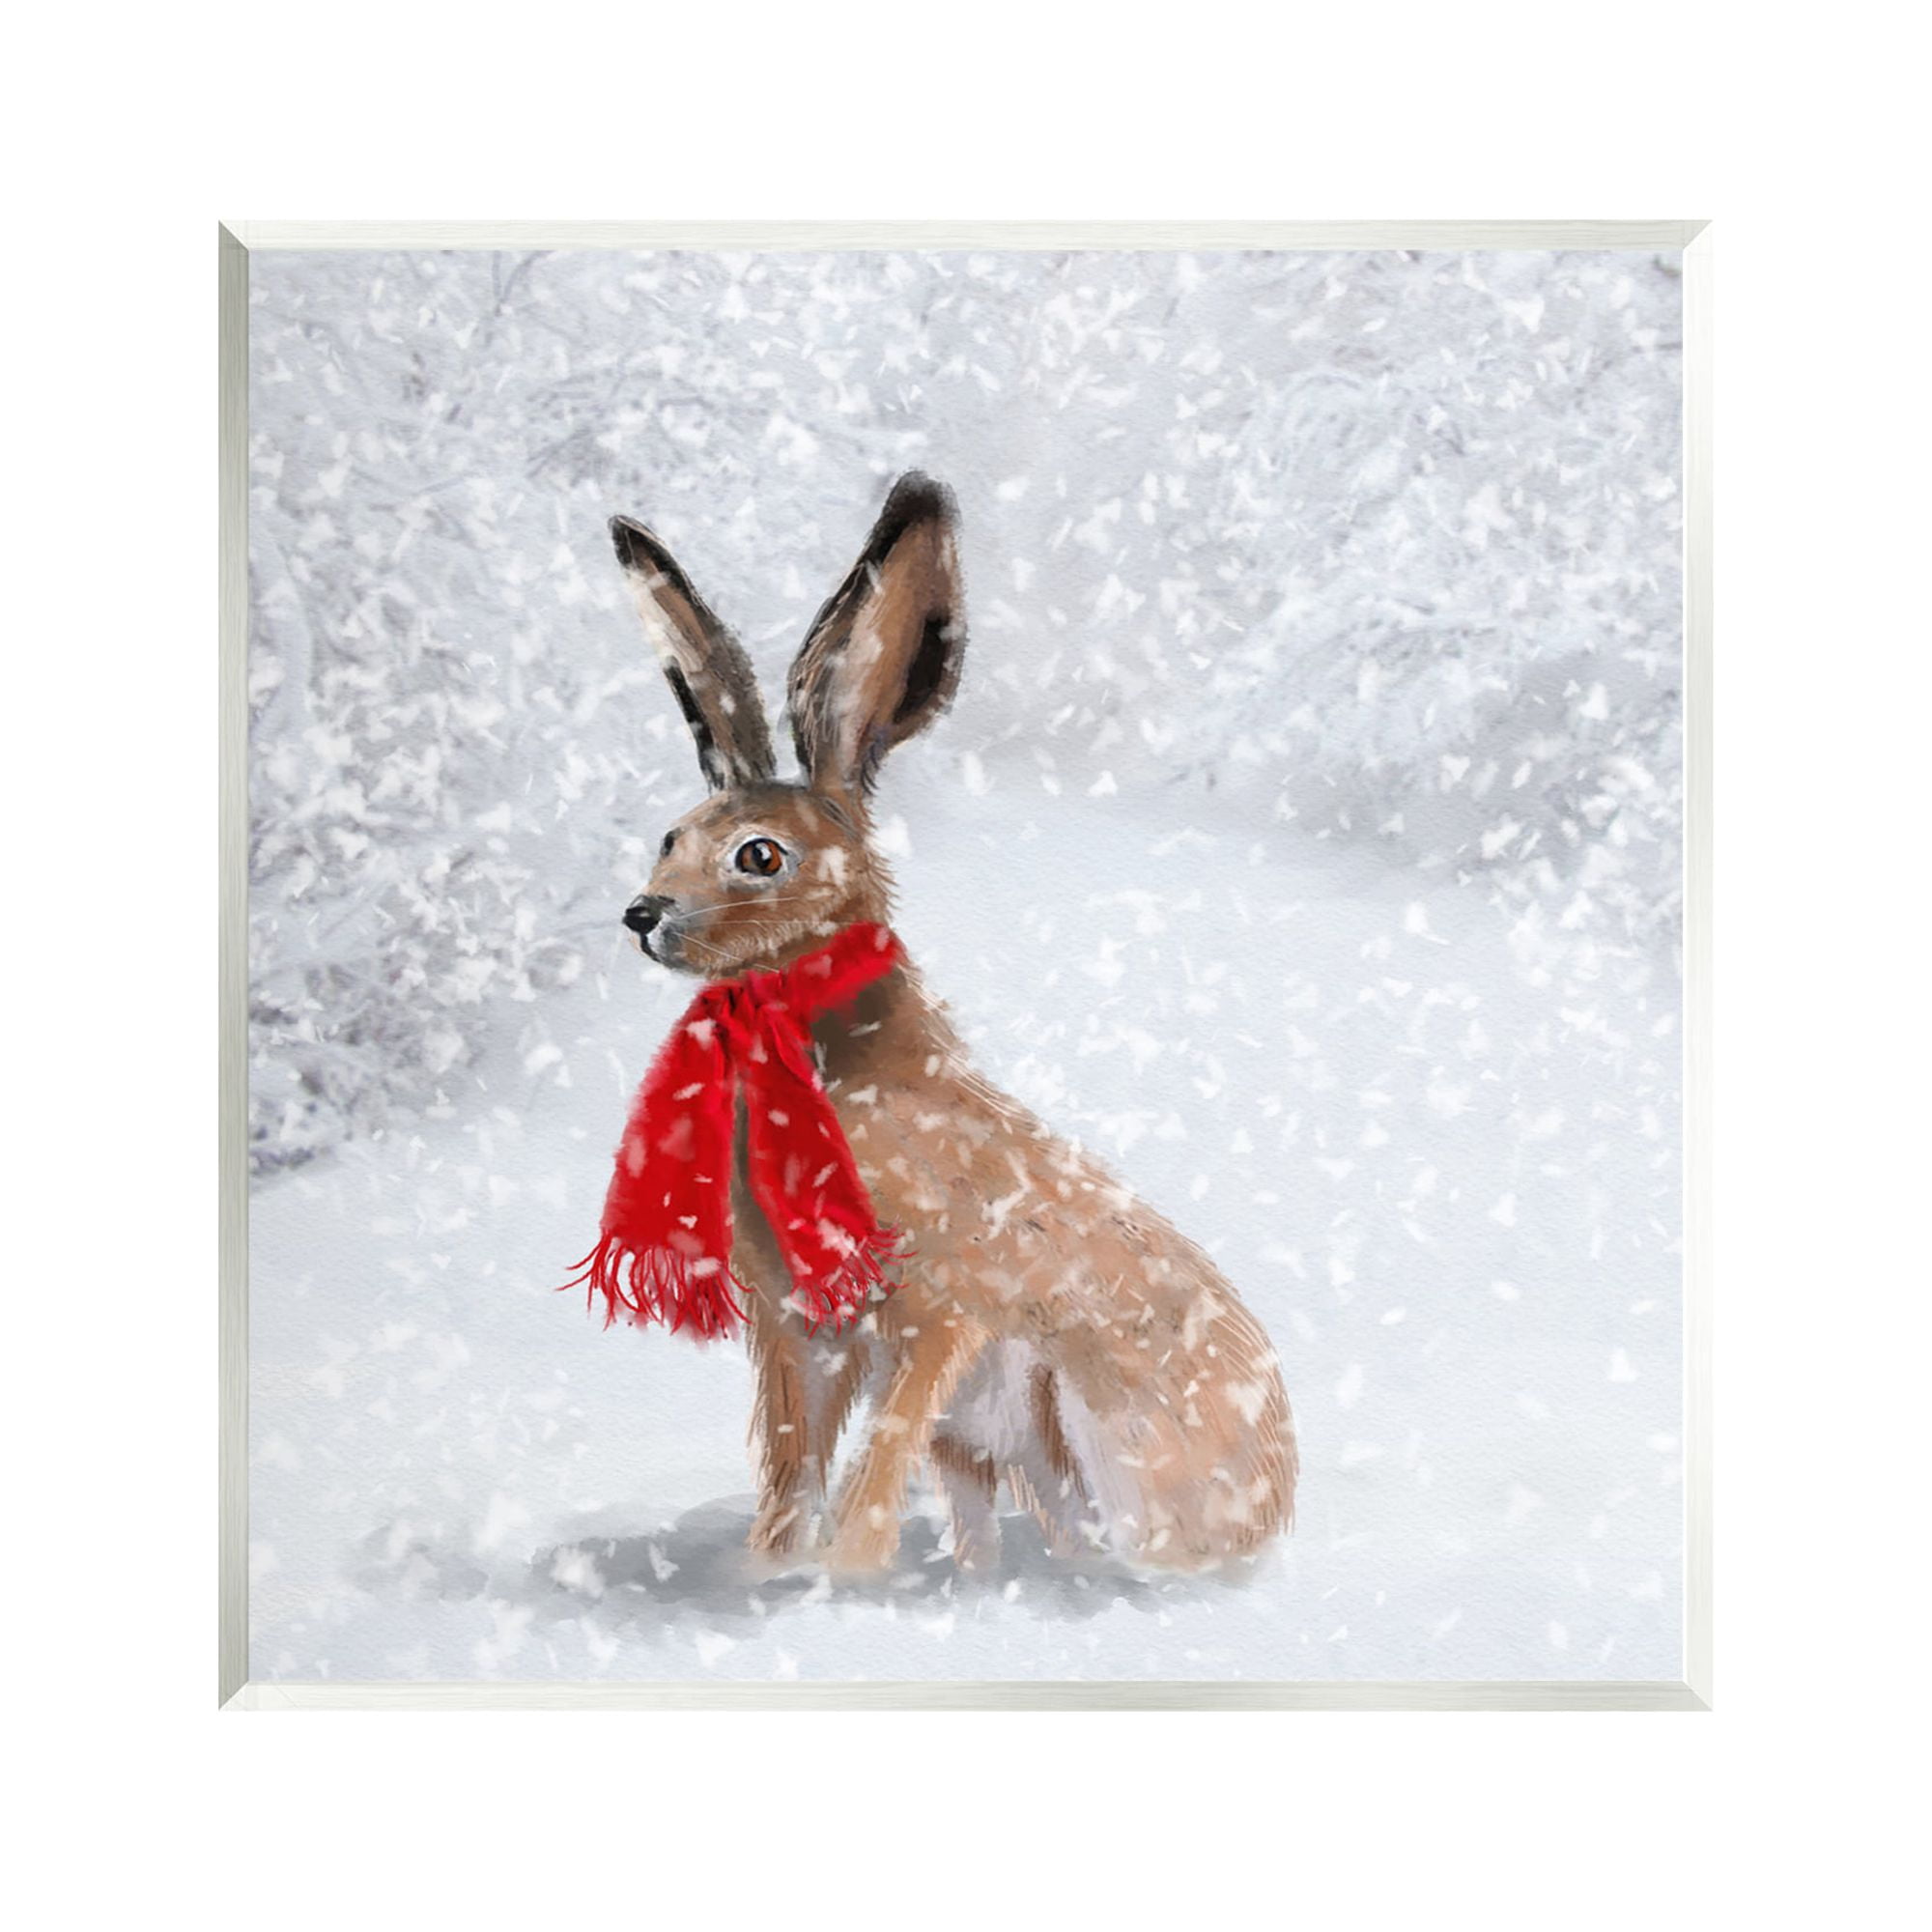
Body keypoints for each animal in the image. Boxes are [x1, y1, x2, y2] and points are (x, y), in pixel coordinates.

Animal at [605, 472, 1295, 1574]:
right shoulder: (797, 1335)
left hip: (1081, 1422)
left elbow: (873, 1465)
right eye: (669, 836)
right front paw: (773, 1570)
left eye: (758, 856)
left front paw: (839, 1577)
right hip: (989, 1455)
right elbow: (791, 1465)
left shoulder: (937, 1315)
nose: (643, 913)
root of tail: (1278, 1507)